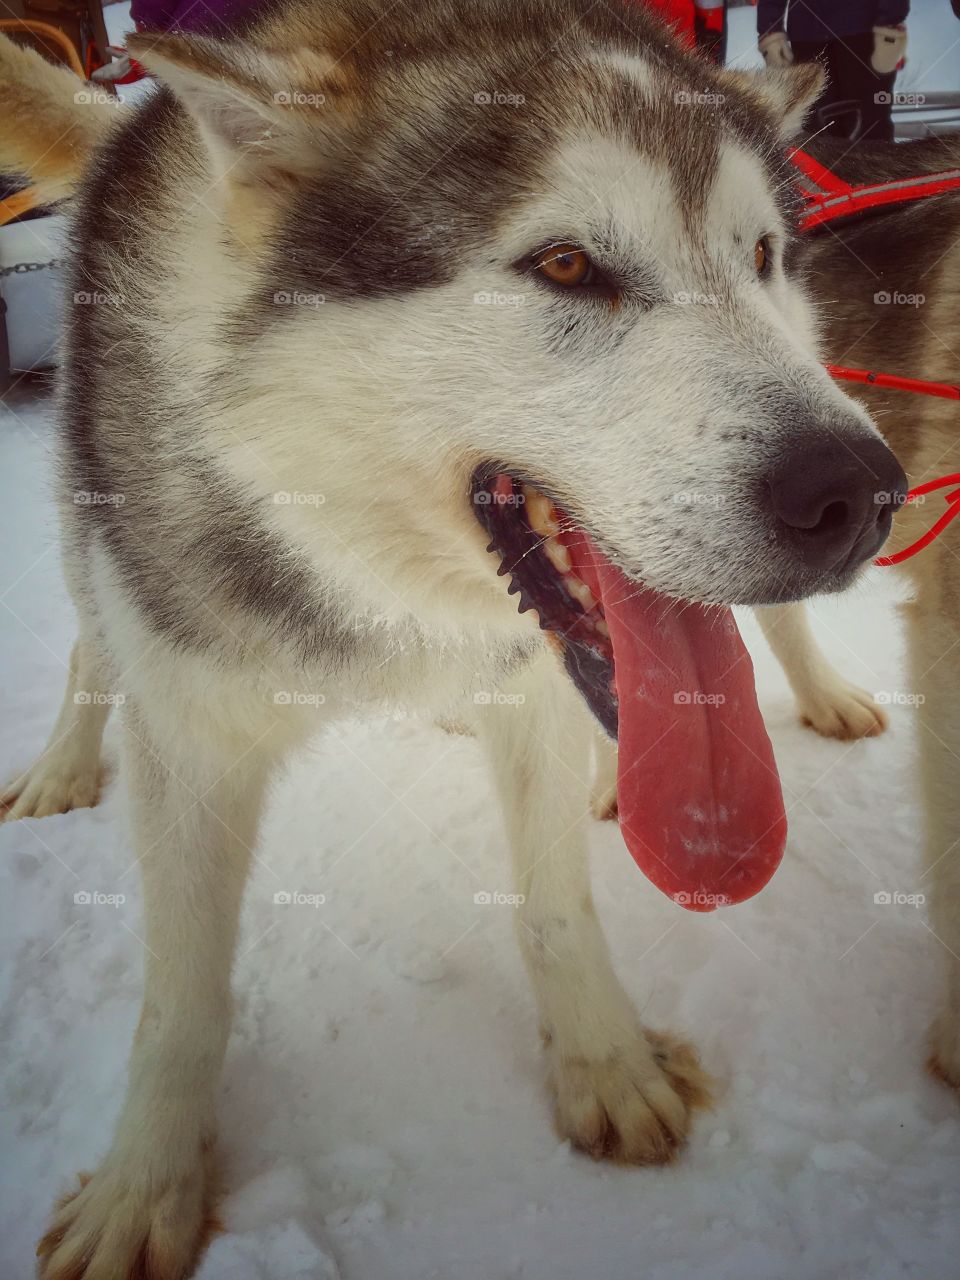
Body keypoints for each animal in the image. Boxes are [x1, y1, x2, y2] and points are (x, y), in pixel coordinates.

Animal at [0, 0, 926, 1274]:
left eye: (759, 257)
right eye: (567, 265)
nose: (858, 497)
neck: (371, 572)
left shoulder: (531, 698)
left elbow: (556, 907)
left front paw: (604, 1061)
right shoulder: (190, 732)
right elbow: (181, 997)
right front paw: (148, 1183)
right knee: (91, 647)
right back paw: (61, 764)